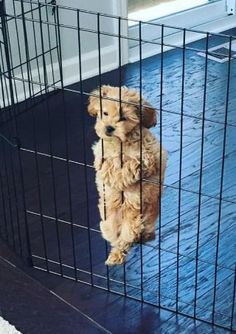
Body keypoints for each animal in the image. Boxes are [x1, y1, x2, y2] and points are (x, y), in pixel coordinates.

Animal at [87, 86, 167, 266]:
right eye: (105, 113)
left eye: (123, 117)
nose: (109, 128)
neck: (120, 142)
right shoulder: (102, 148)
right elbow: (102, 160)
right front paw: (105, 171)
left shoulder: (147, 157)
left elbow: (130, 166)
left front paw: (119, 178)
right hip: (109, 217)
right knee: (110, 230)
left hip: (136, 217)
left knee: (127, 238)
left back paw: (117, 255)